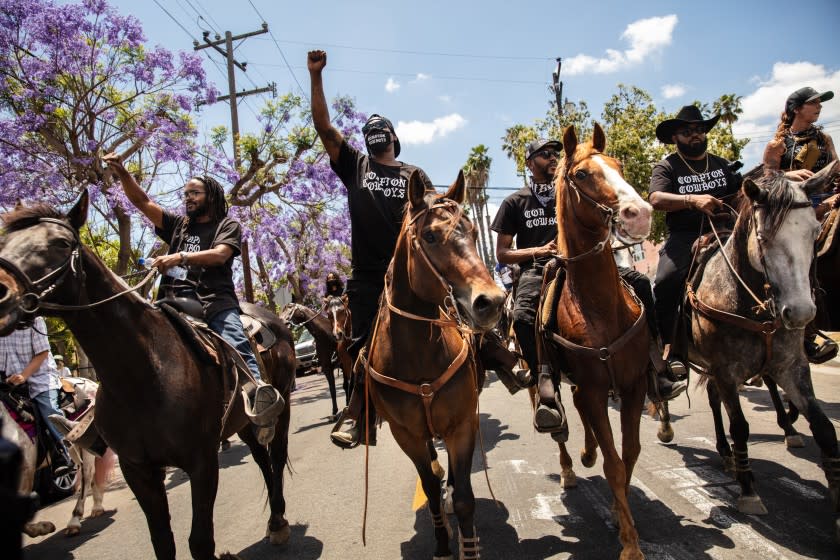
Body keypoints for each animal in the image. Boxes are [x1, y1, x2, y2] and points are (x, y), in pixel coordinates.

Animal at [0, 191, 296, 556]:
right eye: (4, 242)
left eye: (60, 243)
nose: (1, 294)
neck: (143, 375)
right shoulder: (137, 470)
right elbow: (162, 543)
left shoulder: (201, 461)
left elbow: (200, 541)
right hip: (242, 421)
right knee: (261, 458)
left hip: (283, 403)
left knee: (277, 455)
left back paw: (280, 521)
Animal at [362, 171, 502, 560]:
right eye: (429, 236)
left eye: (473, 232)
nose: (492, 302)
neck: (417, 354)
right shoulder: (406, 434)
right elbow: (428, 485)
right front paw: (441, 545)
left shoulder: (462, 424)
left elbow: (466, 497)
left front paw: (467, 546)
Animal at [540, 123, 656, 560]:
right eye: (582, 174)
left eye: (619, 166)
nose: (639, 214)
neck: (600, 306)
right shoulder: (593, 386)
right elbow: (613, 463)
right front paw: (630, 543)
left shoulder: (633, 385)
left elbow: (629, 453)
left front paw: (618, 510)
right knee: (561, 422)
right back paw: (571, 466)